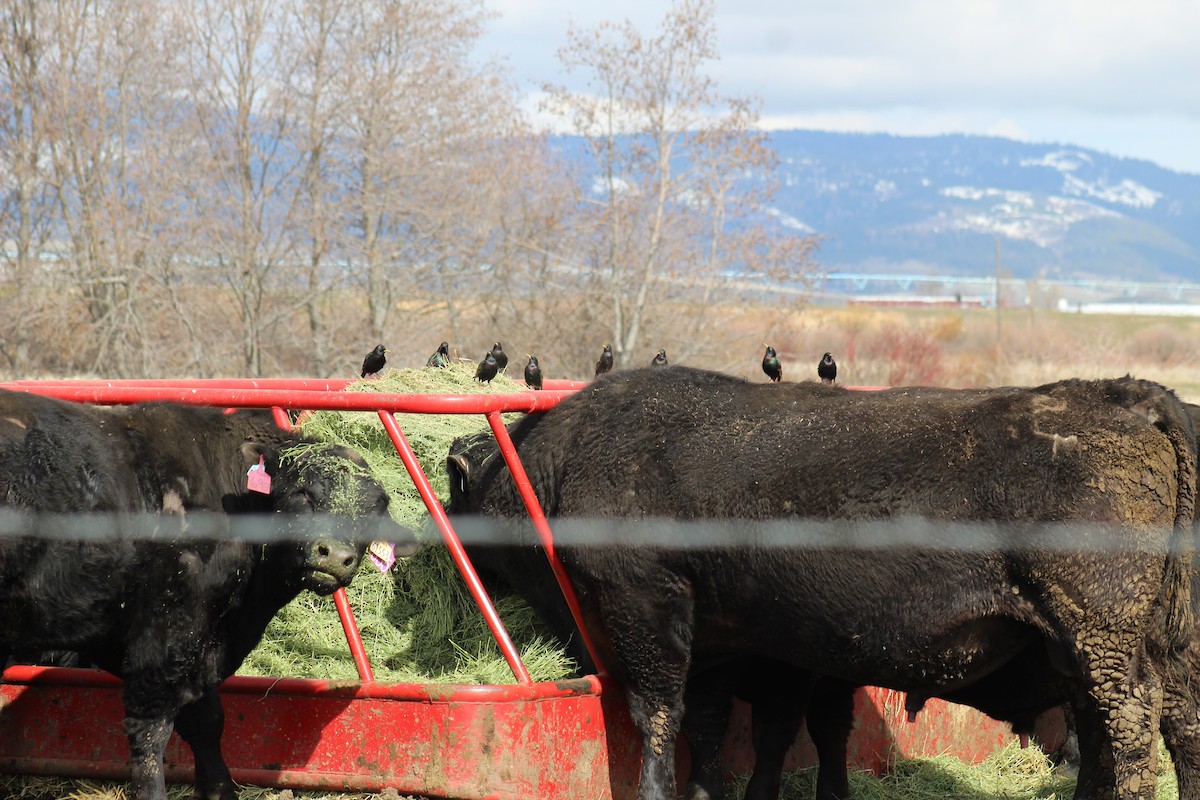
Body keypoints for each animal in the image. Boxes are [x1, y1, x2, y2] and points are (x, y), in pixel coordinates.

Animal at [0, 391, 420, 800]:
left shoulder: (197, 641)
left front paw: (220, 789)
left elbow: (207, 721)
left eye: (374, 512)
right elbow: (150, 734)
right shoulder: (166, 637)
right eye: (304, 492)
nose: (334, 555)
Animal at [448, 369, 1200, 800]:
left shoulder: (647, 605)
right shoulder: (723, 642)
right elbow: (715, 725)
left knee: (1129, 729)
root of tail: (1122, 396)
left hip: (1102, 639)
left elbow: (657, 715)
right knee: (1169, 726)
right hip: (1146, 642)